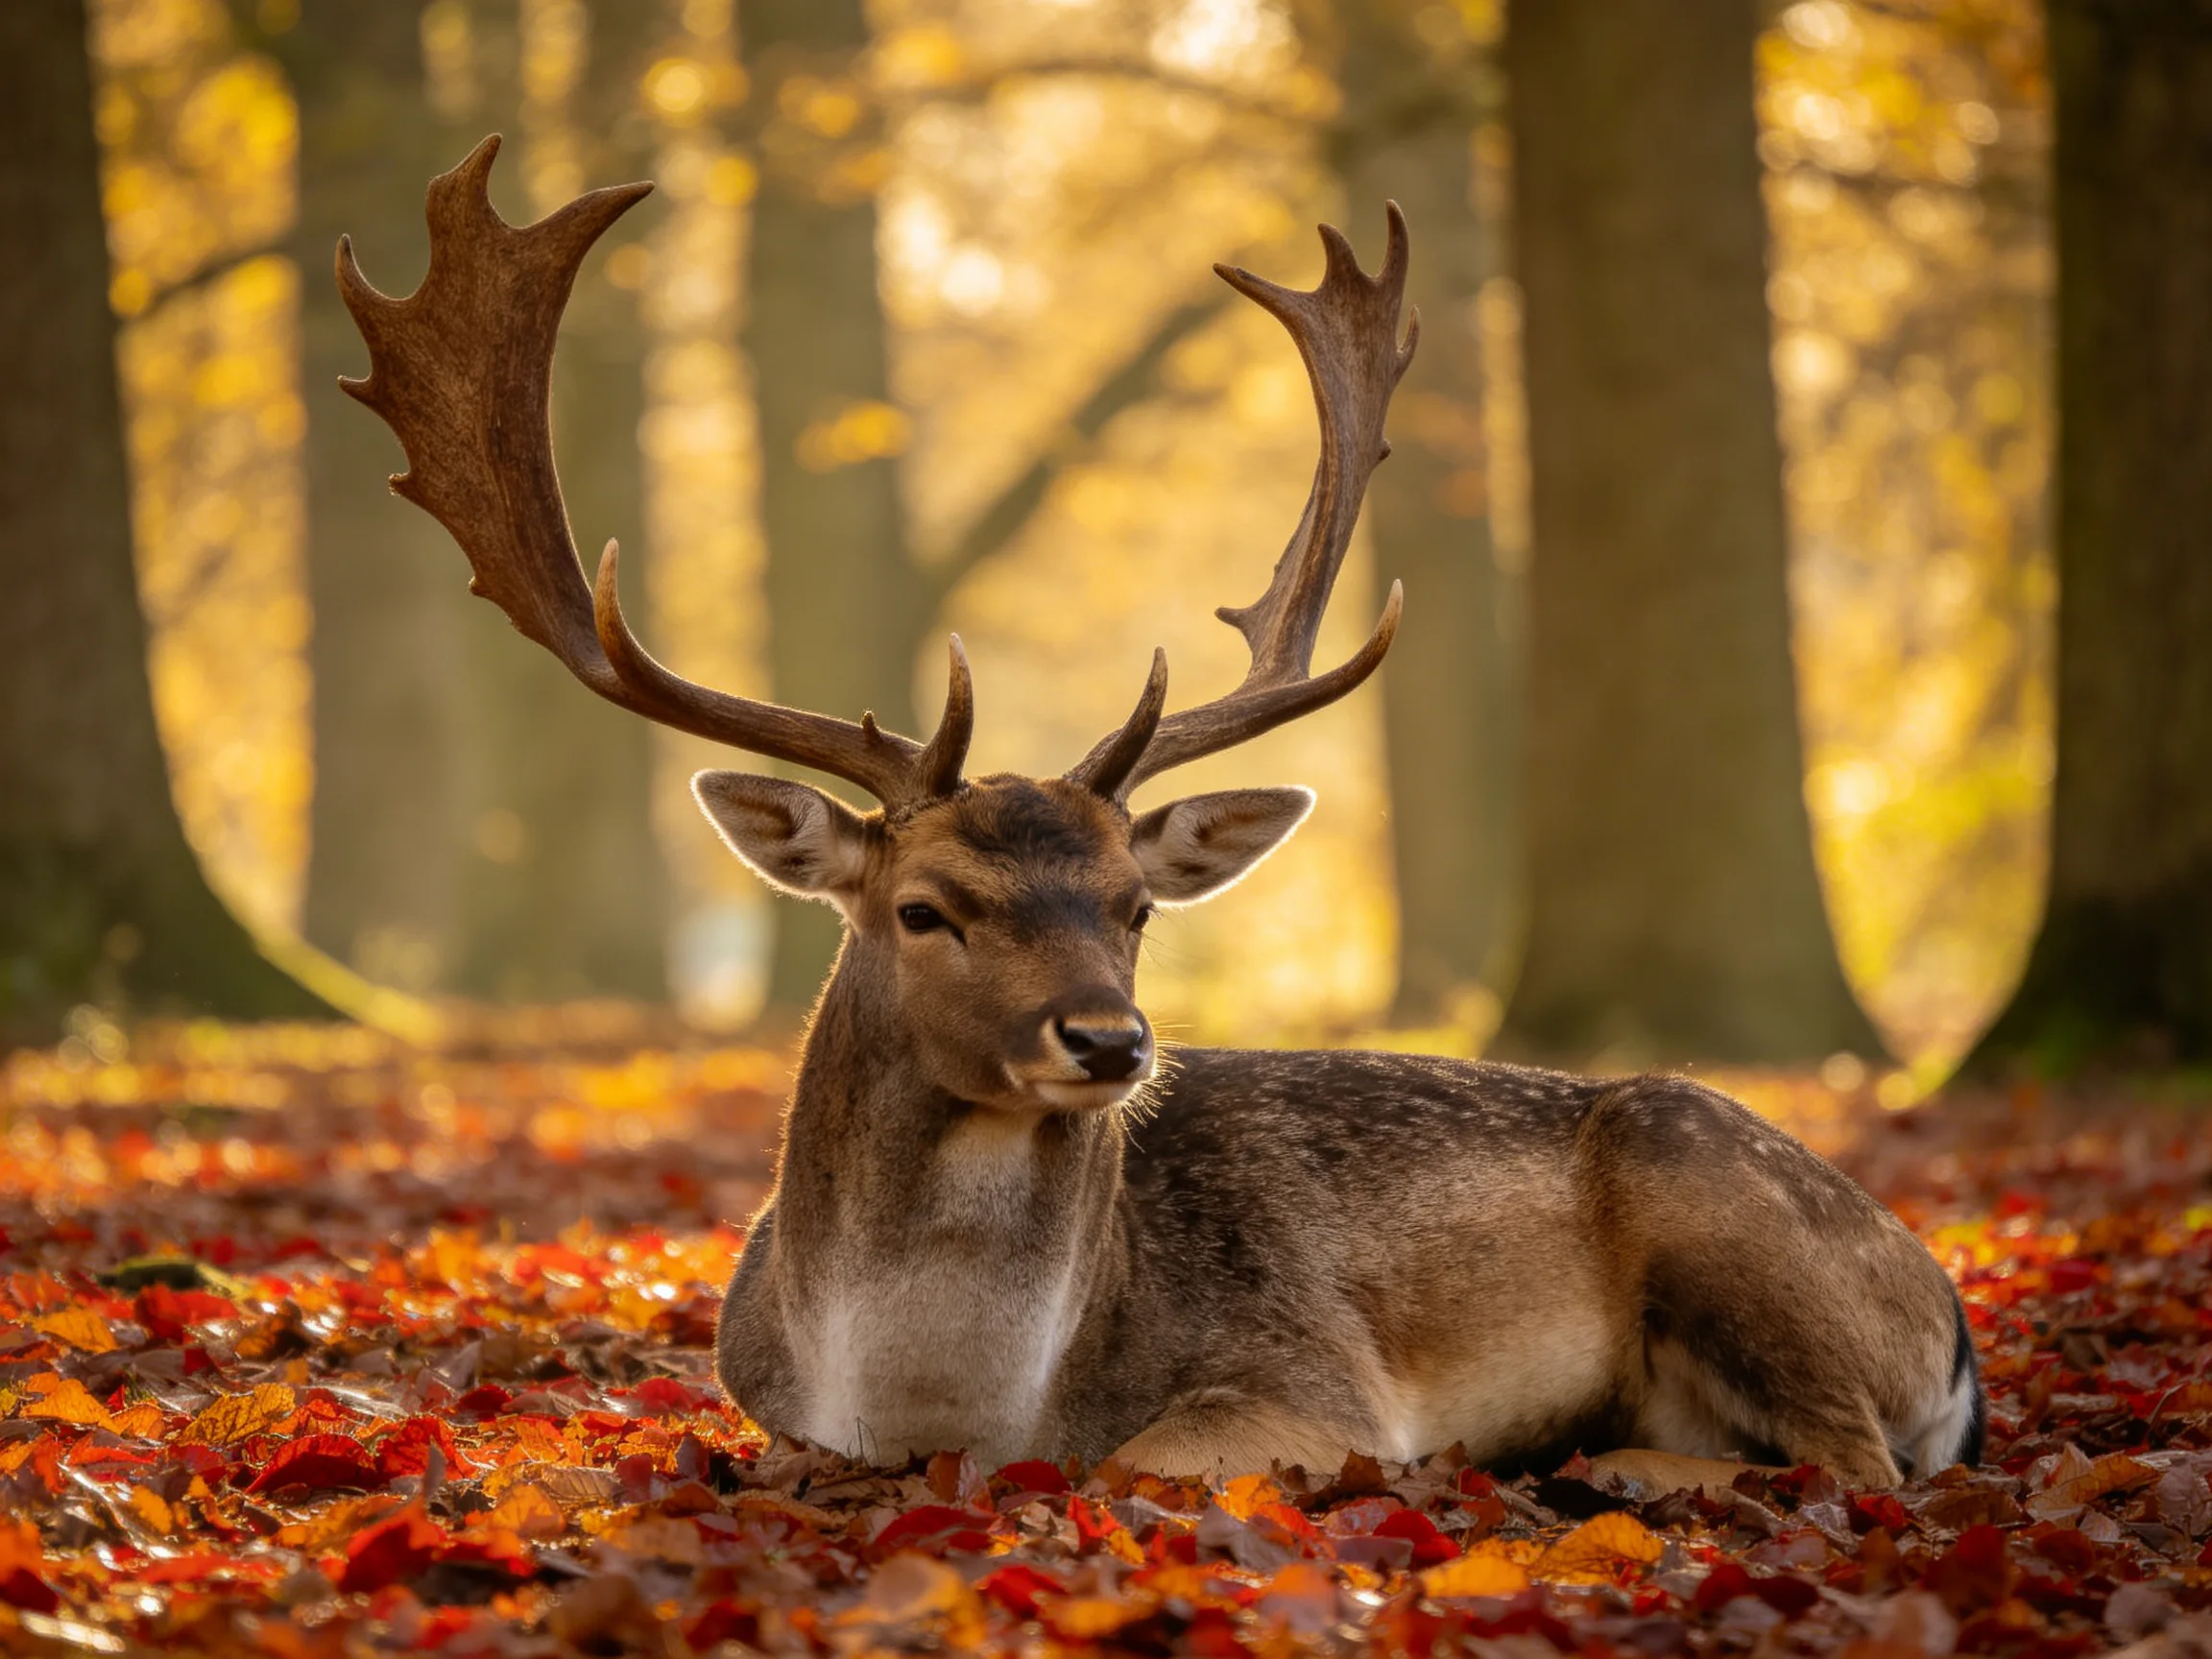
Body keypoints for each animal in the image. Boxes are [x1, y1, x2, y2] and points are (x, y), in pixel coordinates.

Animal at [336, 136, 1984, 1489]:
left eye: (1135, 906)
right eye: (924, 907)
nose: (1112, 1042)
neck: (935, 1408)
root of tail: (1953, 1326)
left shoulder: (1314, 1379)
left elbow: (1135, 1465)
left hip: (1718, 1195)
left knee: (1852, 1460)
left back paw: (1611, 1470)